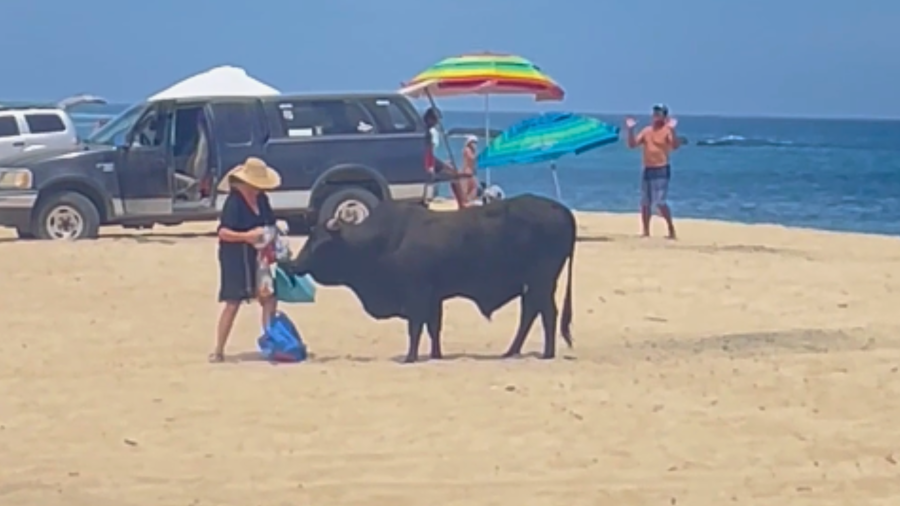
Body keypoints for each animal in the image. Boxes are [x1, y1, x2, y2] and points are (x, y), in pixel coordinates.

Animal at [282, 195, 576, 364]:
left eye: (320, 244)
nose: (294, 264)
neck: (382, 241)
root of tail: (561, 210)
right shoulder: (434, 297)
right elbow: (434, 327)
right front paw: (436, 354)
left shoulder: (418, 294)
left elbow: (415, 327)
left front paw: (410, 357)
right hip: (533, 286)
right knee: (531, 314)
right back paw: (512, 351)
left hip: (541, 282)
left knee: (546, 314)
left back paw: (546, 353)